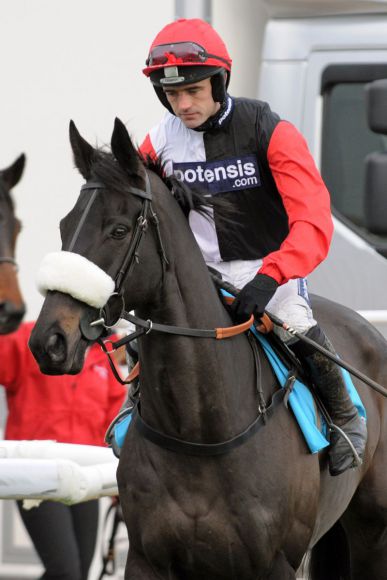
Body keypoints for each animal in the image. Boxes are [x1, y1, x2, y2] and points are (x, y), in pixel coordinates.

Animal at [29, 120, 387, 576]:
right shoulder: (147, 559)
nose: (49, 341)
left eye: (119, 230)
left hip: (372, 533)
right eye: (64, 226)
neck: (200, 430)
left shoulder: (275, 563)